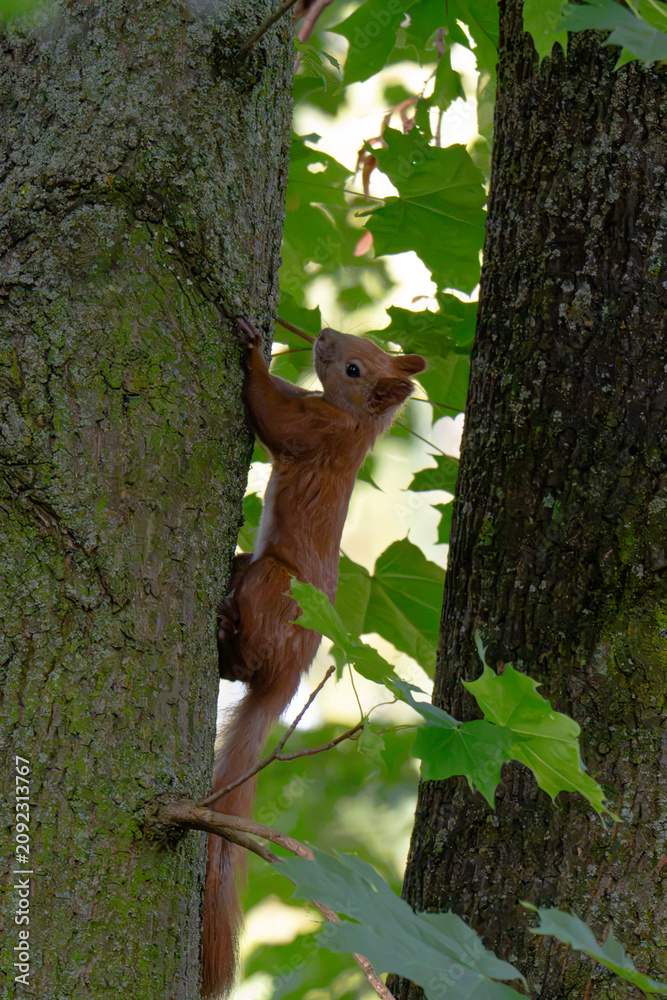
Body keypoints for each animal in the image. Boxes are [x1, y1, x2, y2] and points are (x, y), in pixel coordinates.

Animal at [201, 317, 427, 998]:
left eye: (355, 368)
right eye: (364, 340)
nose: (323, 332)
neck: (353, 423)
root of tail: (288, 680)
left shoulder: (316, 432)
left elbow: (272, 417)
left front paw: (253, 350)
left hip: (274, 585)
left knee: (245, 660)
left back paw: (228, 631)